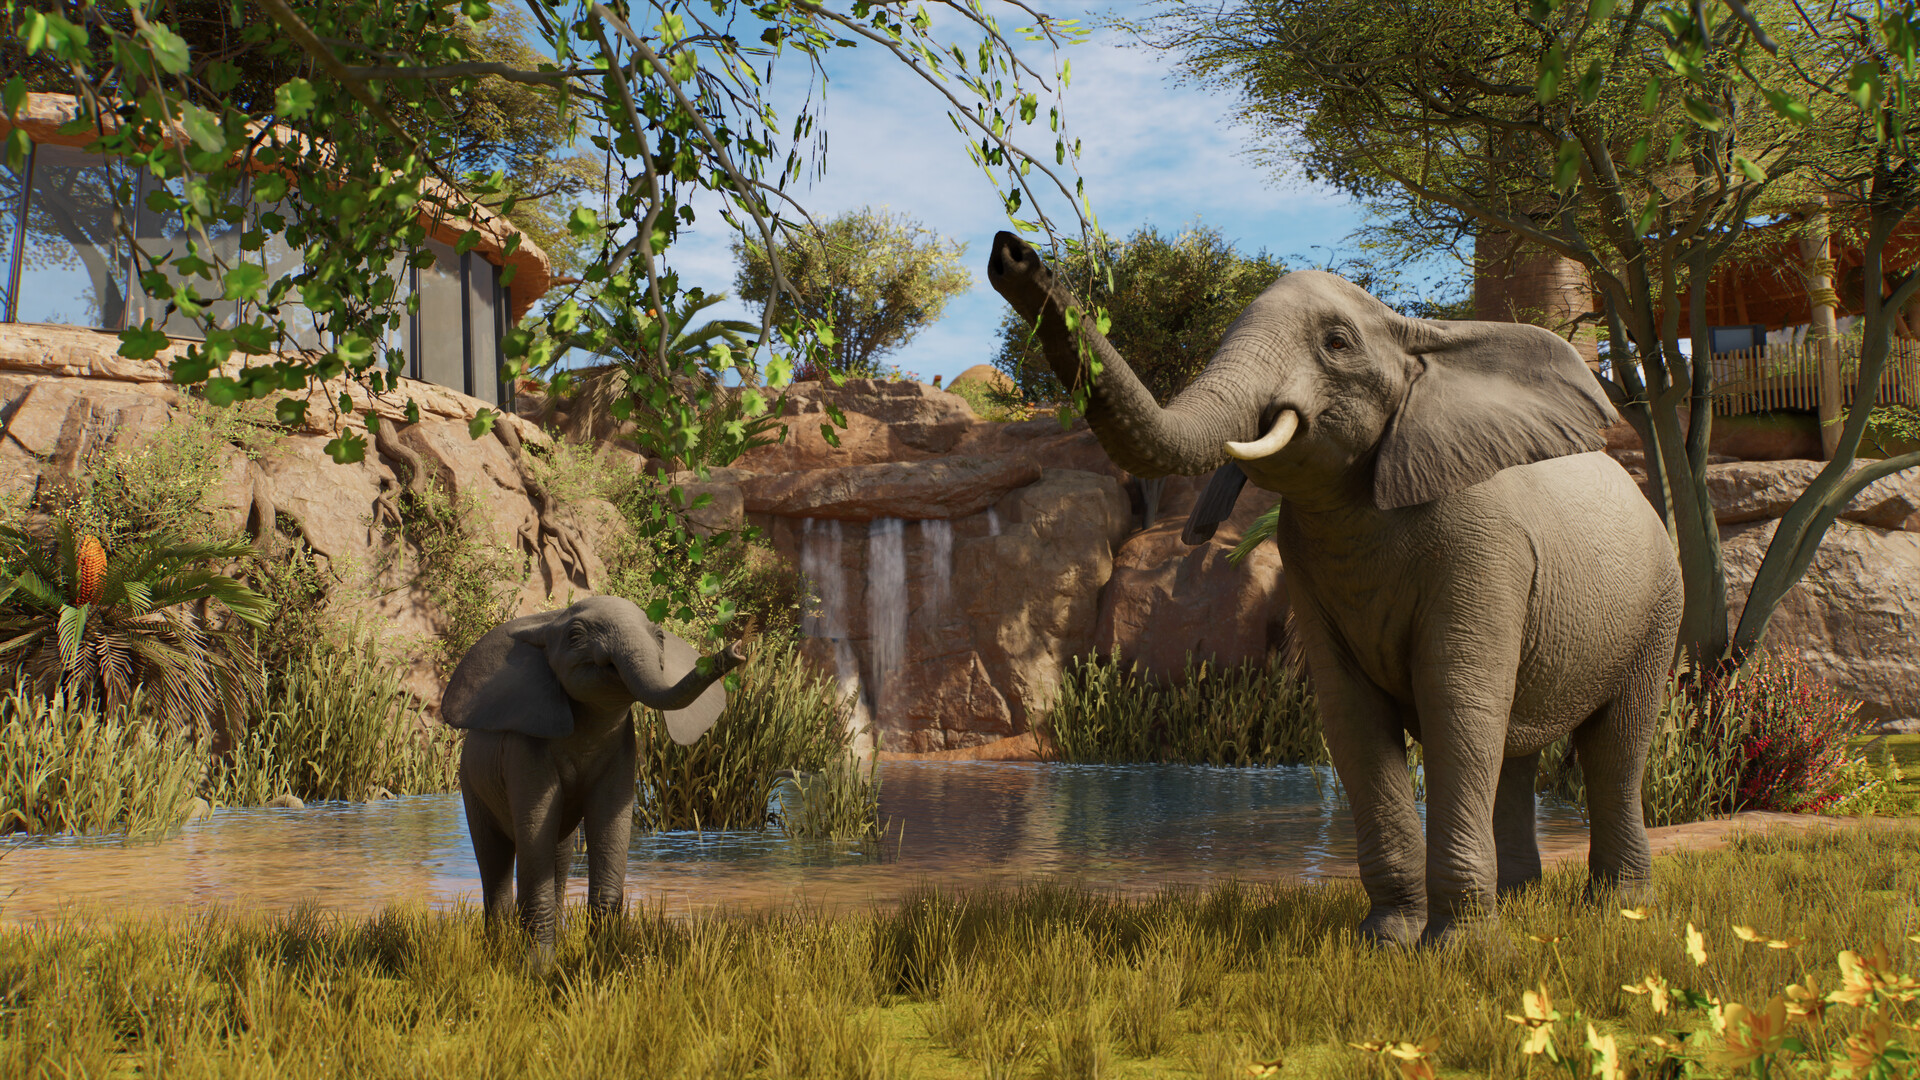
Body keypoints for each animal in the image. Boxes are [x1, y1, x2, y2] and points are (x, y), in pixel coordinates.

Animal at [441, 595, 746, 953]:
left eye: (660, 636)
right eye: (575, 635)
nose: (736, 649)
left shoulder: (624, 747)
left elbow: (609, 824)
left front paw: (603, 957)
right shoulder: (525, 749)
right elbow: (535, 824)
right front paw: (538, 965)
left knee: (557, 854)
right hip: (471, 783)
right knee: (494, 857)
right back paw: (498, 948)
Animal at [987, 232, 1682, 945]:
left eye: (1337, 344)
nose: (1013, 252)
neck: (1418, 338)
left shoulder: (1486, 548)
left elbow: (1457, 701)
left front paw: (1461, 950)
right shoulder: (1309, 563)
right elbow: (1352, 716)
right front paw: (1386, 942)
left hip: (1659, 603)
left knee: (1615, 746)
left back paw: (1618, 908)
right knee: (1515, 754)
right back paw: (1521, 900)